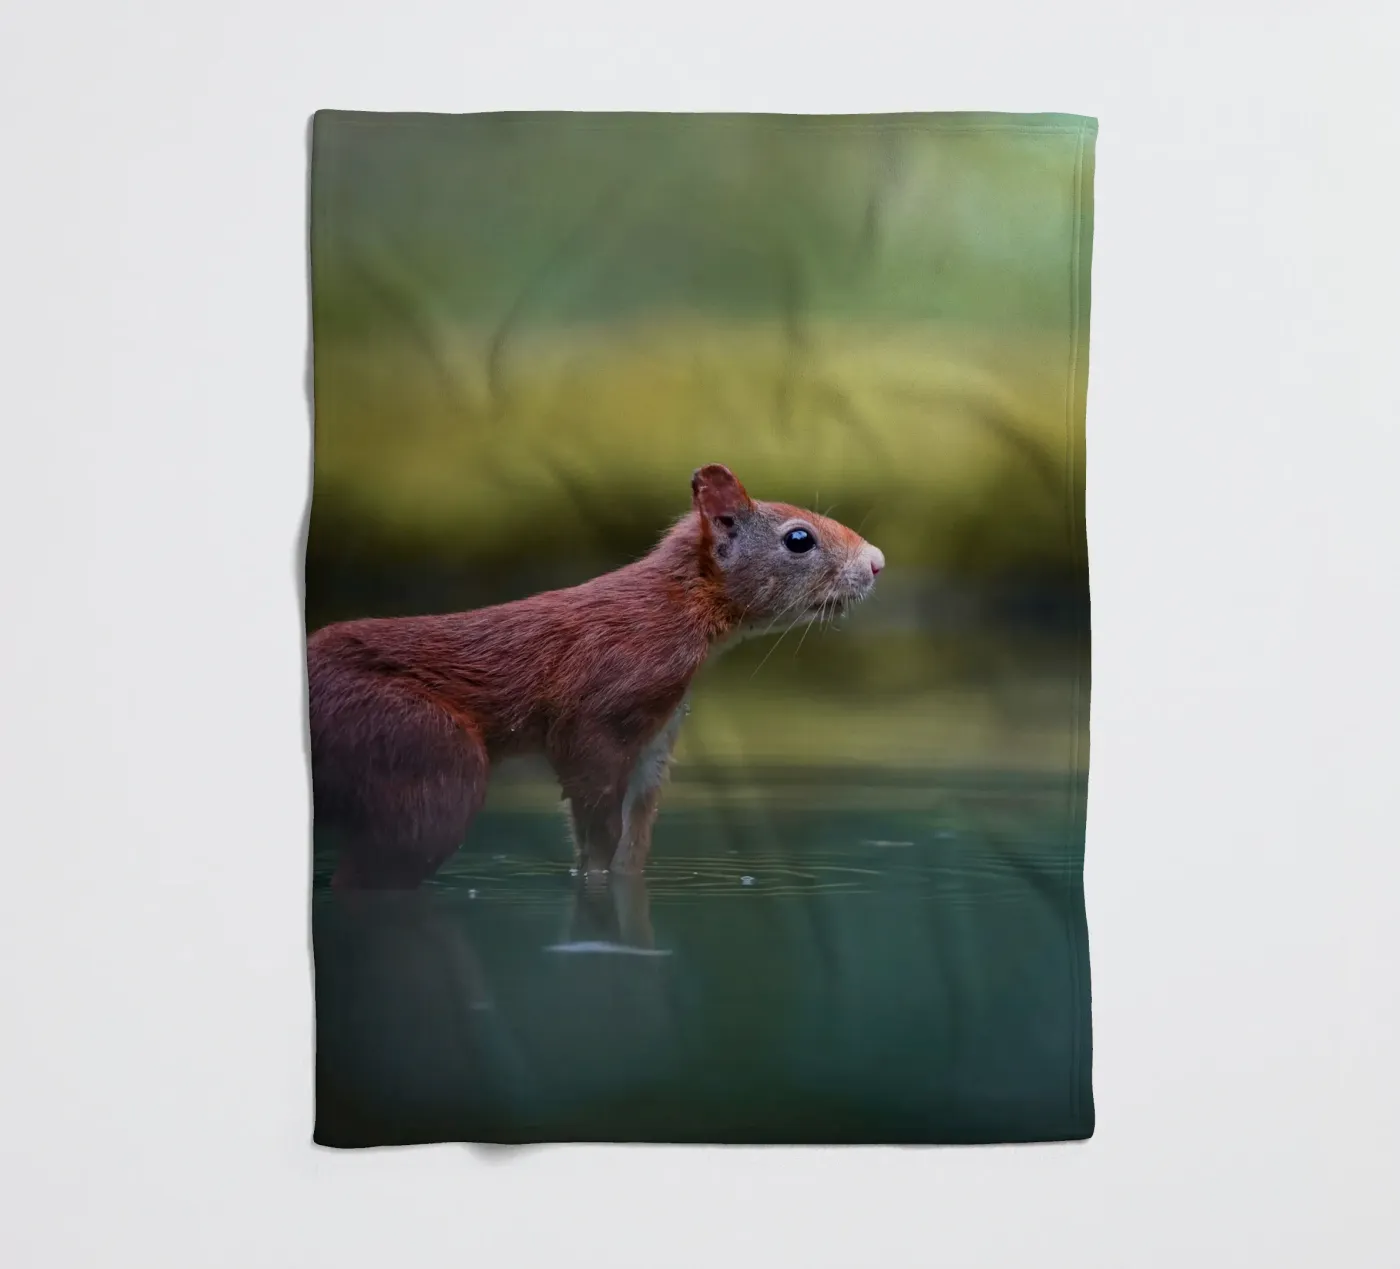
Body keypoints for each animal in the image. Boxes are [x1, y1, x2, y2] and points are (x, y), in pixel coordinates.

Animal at [307, 464, 884, 890]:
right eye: (799, 539)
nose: (877, 562)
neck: (675, 608)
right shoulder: (600, 706)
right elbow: (596, 819)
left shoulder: (657, 738)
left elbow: (632, 841)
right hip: (419, 749)